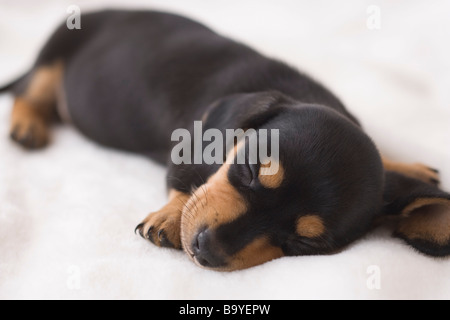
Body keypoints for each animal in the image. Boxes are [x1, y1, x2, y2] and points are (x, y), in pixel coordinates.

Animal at [0, 10, 450, 270]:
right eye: (248, 171)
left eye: (304, 242)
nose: (205, 250)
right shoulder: (186, 147)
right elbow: (188, 181)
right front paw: (170, 216)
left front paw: (406, 168)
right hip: (54, 54)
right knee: (30, 90)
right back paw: (27, 125)